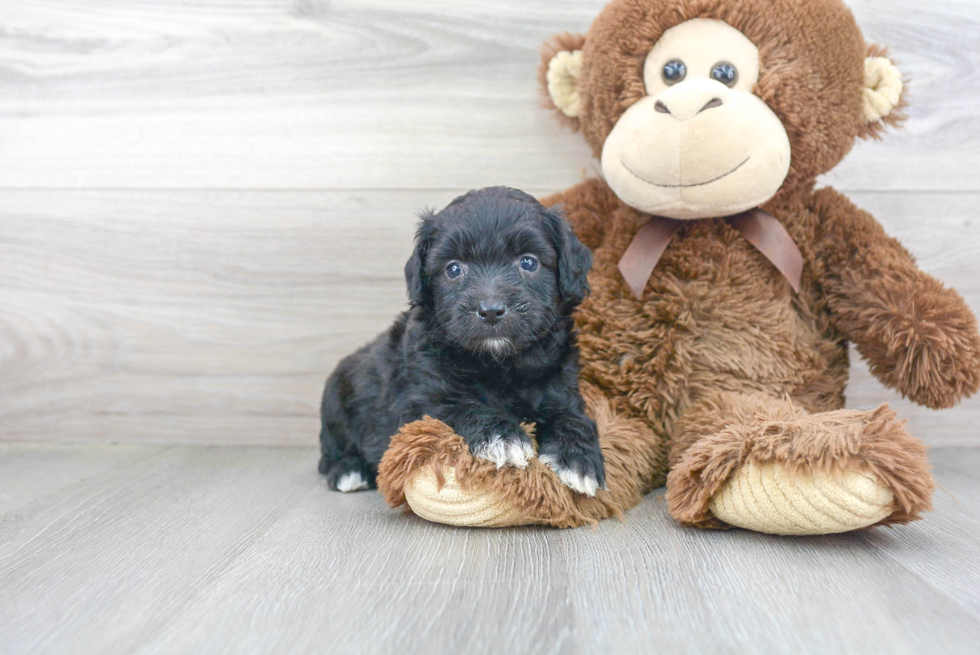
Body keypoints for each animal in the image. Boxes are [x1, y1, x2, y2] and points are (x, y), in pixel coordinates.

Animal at [318, 187, 604, 494]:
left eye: (528, 262)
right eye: (454, 269)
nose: (490, 310)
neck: (499, 364)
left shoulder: (561, 388)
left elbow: (573, 417)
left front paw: (577, 459)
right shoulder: (420, 400)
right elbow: (460, 406)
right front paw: (502, 436)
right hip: (335, 401)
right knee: (329, 454)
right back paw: (349, 470)